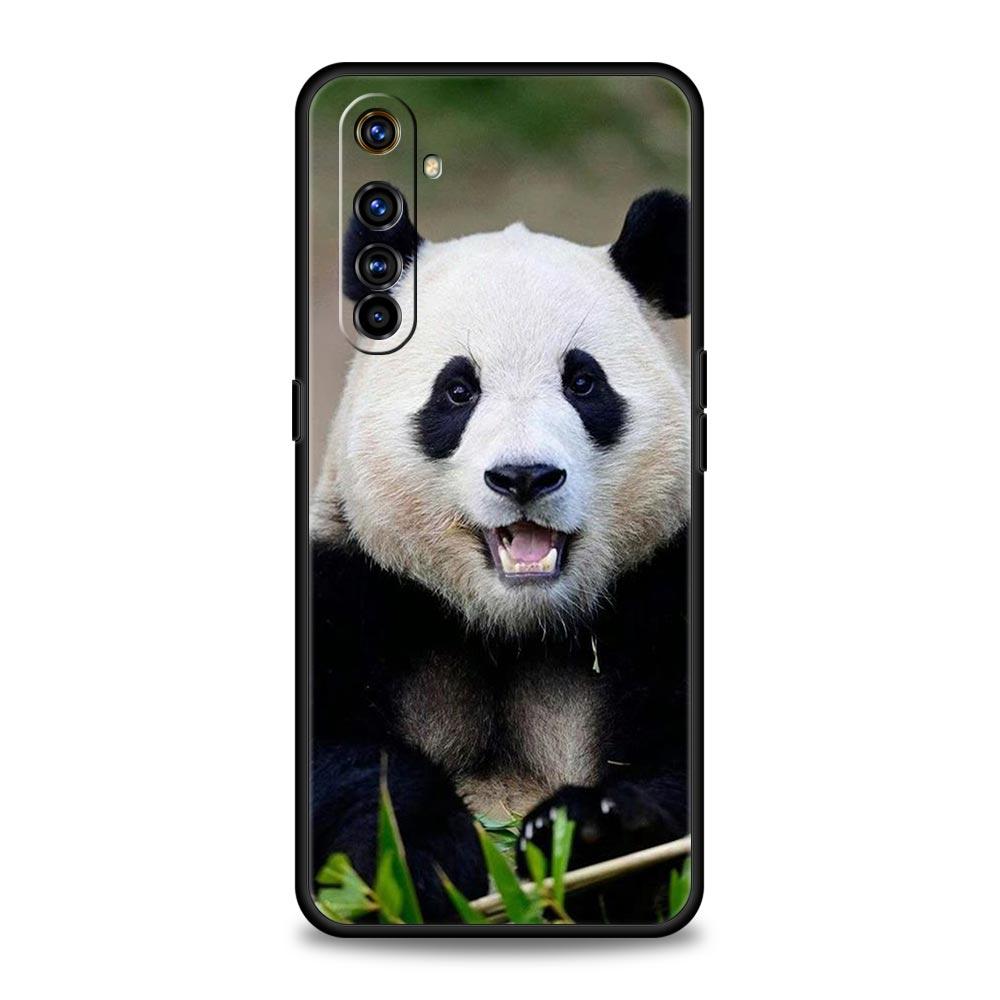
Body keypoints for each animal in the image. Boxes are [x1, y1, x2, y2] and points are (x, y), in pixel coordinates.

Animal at [310, 189, 691, 922]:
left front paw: (591, 833)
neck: (513, 627)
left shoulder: (661, 586)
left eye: (583, 382)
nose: (524, 476)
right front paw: (423, 856)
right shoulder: (353, 586)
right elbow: (342, 758)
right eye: (458, 390)